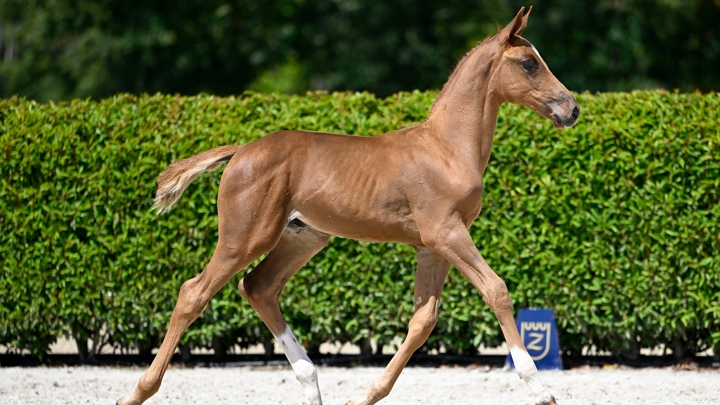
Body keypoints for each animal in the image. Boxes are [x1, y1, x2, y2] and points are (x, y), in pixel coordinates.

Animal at [118, 6, 580, 404]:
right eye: (529, 63)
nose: (572, 109)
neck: (446, 148)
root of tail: (240, 151)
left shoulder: (431, 247)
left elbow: (422, 321)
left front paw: (365, 396)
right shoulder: (445, 232)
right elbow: (496, 290)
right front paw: (541, 389)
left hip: (303, 238)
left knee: (258, 287)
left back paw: (311, 385)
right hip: (245, 237)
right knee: (193, 293)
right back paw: (136, 392)